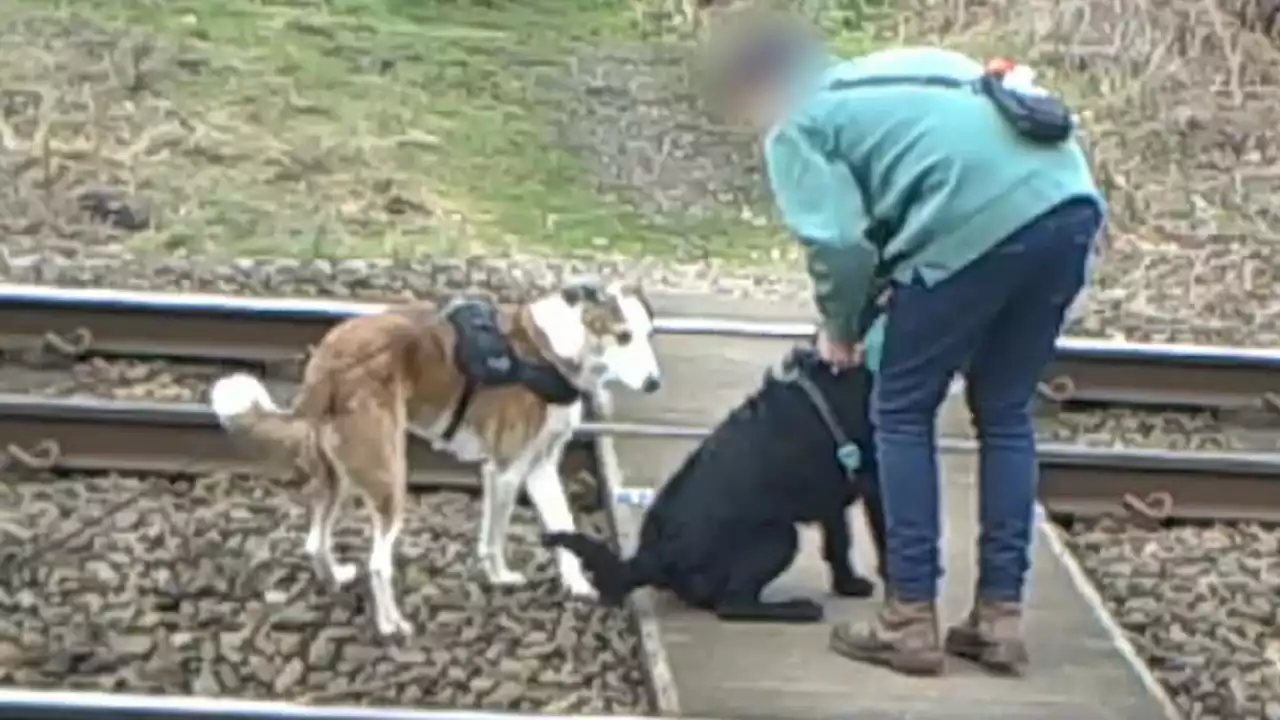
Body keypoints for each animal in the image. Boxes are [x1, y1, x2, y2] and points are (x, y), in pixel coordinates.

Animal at [207, 280, 660, 632]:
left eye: (648, 334)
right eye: (623, 336)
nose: (655, 384)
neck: (554, 349)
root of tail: (329, 362)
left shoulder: (541, 468)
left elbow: (563, 527)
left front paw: (576, 584)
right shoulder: (507, 470)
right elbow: (496, 537)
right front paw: (499, 576)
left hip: (338, 476)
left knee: (315, 541)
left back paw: (336, 580)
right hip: (388, 476)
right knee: (377, 563)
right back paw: (392, 626)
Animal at [537, 345, 880, 620]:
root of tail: (652, 557)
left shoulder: (835, 495)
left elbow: (839, 544)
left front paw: (848, 585)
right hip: (778, 536)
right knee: (733, 604)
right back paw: (797, 609)